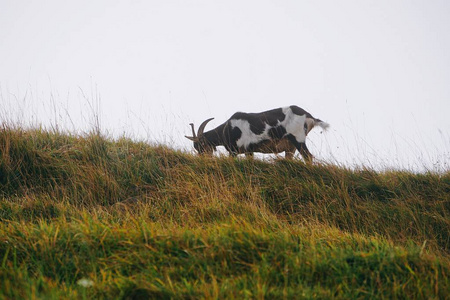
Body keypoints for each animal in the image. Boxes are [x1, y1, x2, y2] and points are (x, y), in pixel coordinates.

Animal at [185, 106, 328, 162]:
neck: (227, 128)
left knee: (308, 157)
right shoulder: (249, 151)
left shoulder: (236, 150)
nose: (203, 158)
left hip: (297, 138)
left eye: (201, 146)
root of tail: (309, 116)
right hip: (290, 147)